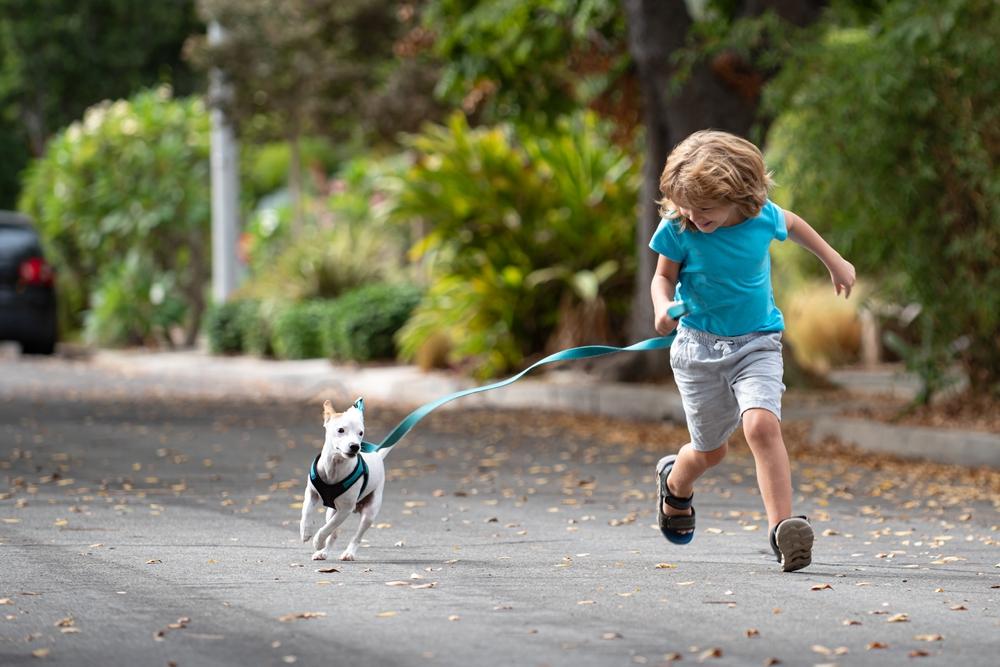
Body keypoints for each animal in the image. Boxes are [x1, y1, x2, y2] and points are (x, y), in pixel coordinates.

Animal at [296, 400, 386, 560]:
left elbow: (327, 528)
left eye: (360, 433)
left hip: (369, 512)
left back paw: (348, 553)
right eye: (341, 430)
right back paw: (323, 552)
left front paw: (318, 541)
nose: (355, 446)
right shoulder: (311, 493)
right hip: (331, 511)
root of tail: (377, 455)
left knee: (356, 536)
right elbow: (306, 511)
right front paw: (305, 532)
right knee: (334, 534)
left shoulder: (345, 510)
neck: (334, 467)